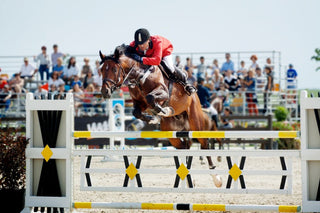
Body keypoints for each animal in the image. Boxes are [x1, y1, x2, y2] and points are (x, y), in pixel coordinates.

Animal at [100, 45, 222, 186]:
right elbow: (137, 111)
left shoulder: (163, 93)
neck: (139, 76)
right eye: (101, 70)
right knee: (183, 146)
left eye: (114, 69)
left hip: (195, 121)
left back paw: (216, 177)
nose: (105, 91)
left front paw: (163, 110)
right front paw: (152, 118)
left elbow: (151, 97)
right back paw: (187, 178)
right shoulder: (139, 103)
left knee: (204, 144)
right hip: (171, 132)